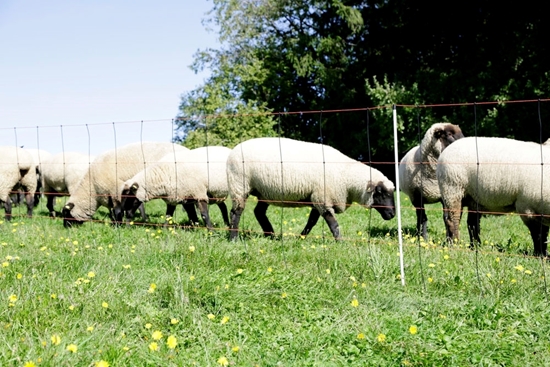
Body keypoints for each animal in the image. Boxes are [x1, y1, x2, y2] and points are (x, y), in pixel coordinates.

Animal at [62, 143, 190, 227]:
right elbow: (114, 211)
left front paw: (119, 226)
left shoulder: (115, 190)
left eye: (66, 214)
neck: (92, 189)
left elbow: (118, 211)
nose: (65, 227)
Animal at [226, 137, 398, 240]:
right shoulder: (323, 198)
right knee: (236, 212)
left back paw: (271, 235)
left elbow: (312, 221)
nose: (392, 214)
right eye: (381, 193)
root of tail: (233, 150)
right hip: (239, 185)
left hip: (264, 191)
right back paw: (234, 237)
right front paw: (340, 241)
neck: (347, 177)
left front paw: (302, 237)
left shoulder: (318, 197)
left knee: (259, 212)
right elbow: (333, 223)